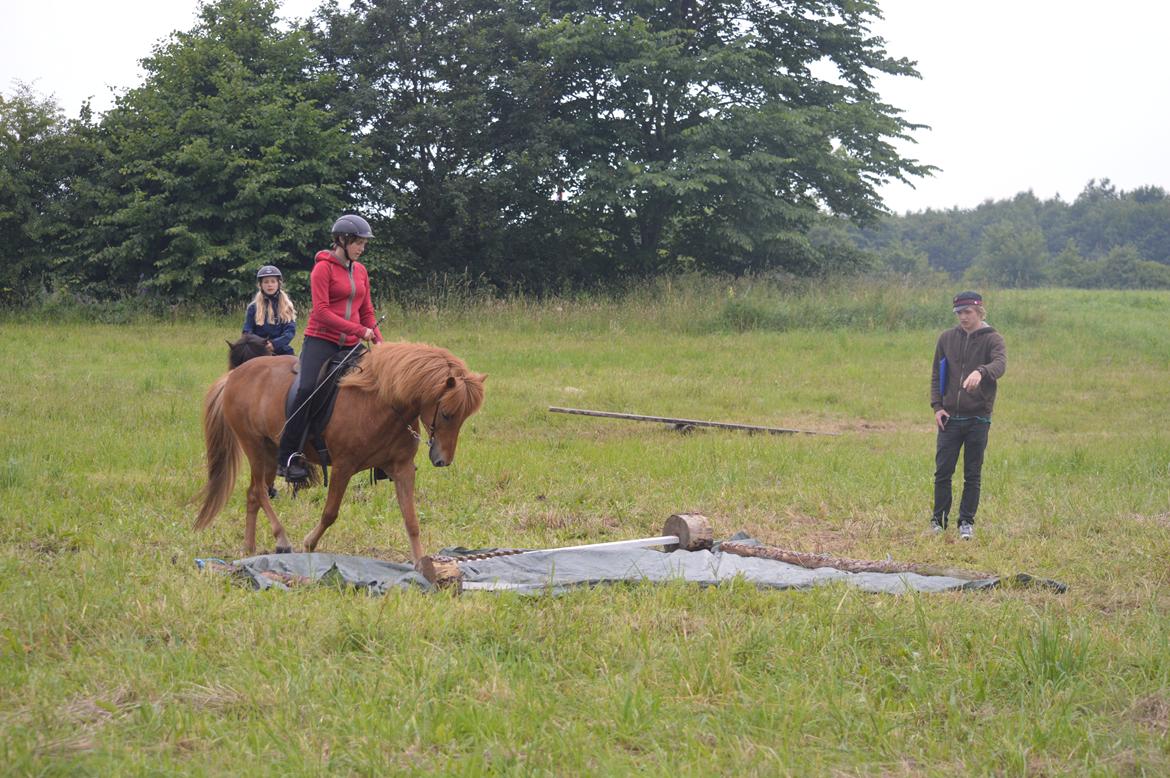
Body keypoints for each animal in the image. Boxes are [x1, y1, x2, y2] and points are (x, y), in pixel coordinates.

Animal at [194, 343, 486, 561]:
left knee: (254, 494)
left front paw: (421, 565)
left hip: (269, 450)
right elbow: (330, 512)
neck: (379, 400)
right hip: (254, 446)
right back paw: (282, 539)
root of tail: (234, 375)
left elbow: (411, 519)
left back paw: (250, 547)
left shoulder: (402, 467)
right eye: (446, 414)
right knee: (259, 491)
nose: (442, 460)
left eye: (464, 417)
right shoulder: (344, 466)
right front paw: (309, 543)